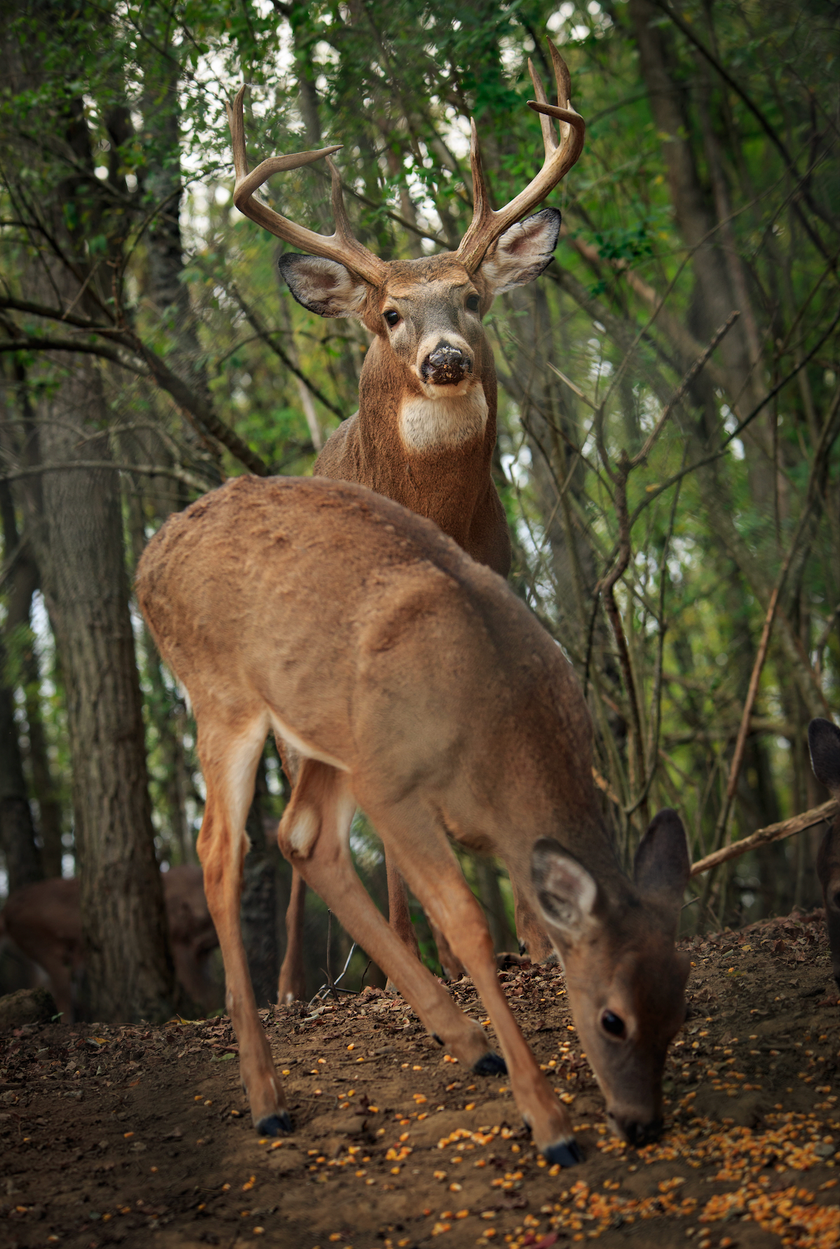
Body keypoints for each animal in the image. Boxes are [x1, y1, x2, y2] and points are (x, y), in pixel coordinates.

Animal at [136, 474, 688, 1159]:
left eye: (682, 1005)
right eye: (613, 1019)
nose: (641, 1124)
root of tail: (147, 563)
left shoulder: (380, 769)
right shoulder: (391, 784)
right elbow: (468, 923)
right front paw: (551, 1124)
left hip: (333, 725)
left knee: (302, 836)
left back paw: (468, 1043)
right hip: (224, 696)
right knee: (219, 850)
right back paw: (268, 1101)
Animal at [225, 39, 586, 994]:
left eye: (472, 298)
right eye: (390, 312)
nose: (446, 356)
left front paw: (532, 943)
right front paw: (416, 957)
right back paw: (304, 982)